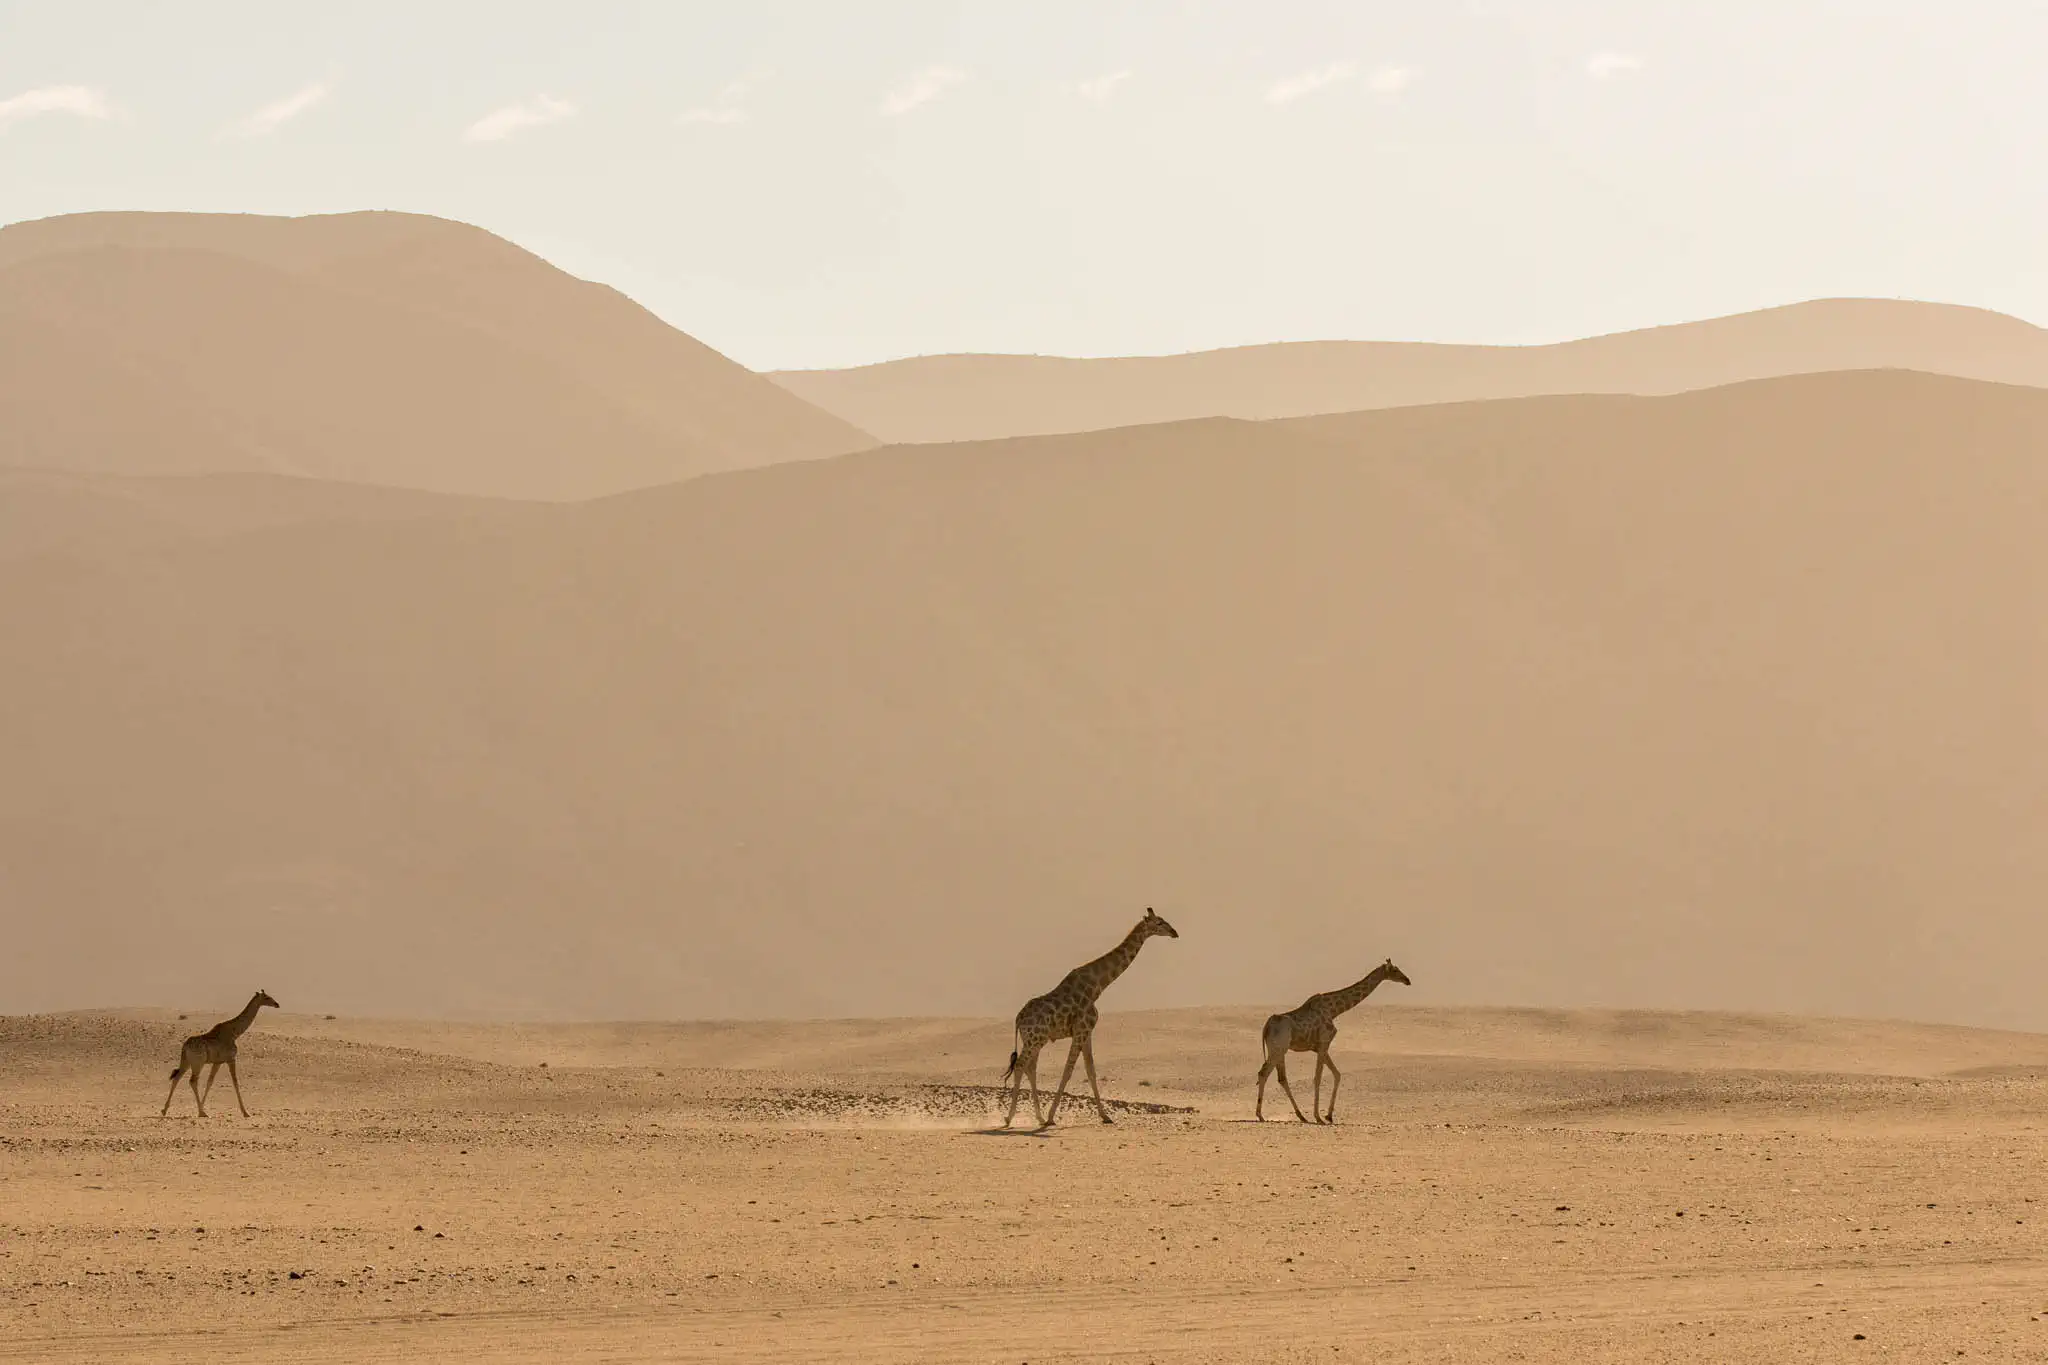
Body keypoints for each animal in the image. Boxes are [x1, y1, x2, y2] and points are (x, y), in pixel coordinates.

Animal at [160, 990, 280, 1118]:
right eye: (266, 997)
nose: (277, 1004)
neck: (235, 1033)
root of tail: (185, 1046)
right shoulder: (231, 1059)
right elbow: (235, 1082)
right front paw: (245, 1112)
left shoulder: (218, 1062)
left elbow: (210, 1082)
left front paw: (202, 1107)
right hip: (198, 1063)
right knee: (192, 1081)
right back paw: (202, 1112)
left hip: (186, 1062)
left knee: (177, 1078)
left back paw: (165, 1110)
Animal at [1000, 908, 1179, 1129]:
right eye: (1159, 922)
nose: (1174, 932)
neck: (1097, 986)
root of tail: (1018, 1019)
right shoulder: (1081, 1029)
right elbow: (1068, 1071)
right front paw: (1051, 1117)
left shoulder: (1087, 1031)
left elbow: (1090, 1070)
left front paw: (1105, 1116)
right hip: (1034, 1039)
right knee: (1020, 1066)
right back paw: (1010, 1118)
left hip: (1035, 1040)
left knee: (1030, 1069)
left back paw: (1038, 1117)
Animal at [1256, 959, 1410, 1124]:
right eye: (1394, 969)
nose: (1407, 980)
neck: (1334, 1010)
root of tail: (1266, 1026)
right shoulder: (1324, 1042)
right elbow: (1318, 1078)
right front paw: (1318, 1117)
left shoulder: (1321, 1047)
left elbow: (1337, 1074)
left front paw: (1328, 1116)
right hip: (1278, 1049)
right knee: (1263, 1073)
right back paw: (1260, 1115)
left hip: (1280, 1050)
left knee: (1281, 1078)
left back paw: (1301, 1116)